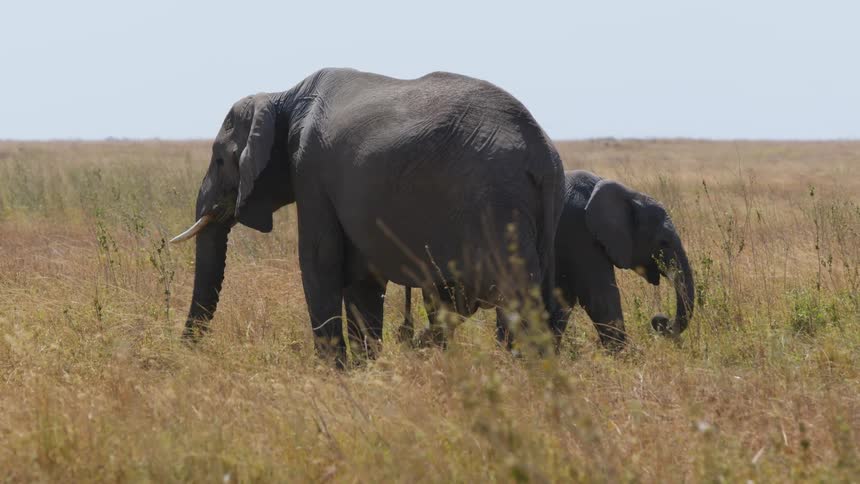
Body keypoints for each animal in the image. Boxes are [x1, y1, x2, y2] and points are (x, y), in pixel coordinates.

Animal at [169, 68, 565, 367]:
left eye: (220, 160)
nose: (183, 352)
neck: (282, 96)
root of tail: (540, 153)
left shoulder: (310, 170)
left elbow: (320, 261)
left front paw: (334, 374)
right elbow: (361, 278)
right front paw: (364, 369)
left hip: (494, 205)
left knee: (508, 294)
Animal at [400, 170, 695, 349]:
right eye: (663, 243)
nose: (660, 321)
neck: (627, 193)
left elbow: (562, 303)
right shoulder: (580, 234)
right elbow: (600, 297)